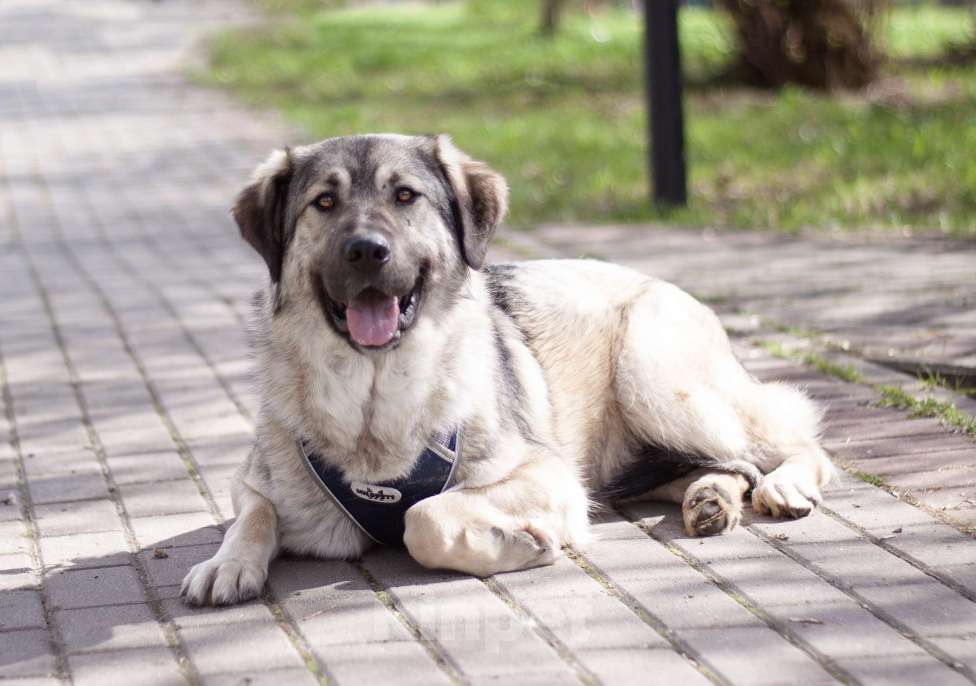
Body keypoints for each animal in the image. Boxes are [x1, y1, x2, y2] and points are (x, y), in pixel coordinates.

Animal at [181, 134, 832, 608]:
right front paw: (226, 562)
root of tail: (661, 280)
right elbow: (252, 514)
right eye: (324, 202)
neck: (374, 399)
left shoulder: (551, 477)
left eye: (405, 197)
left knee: (788, 446)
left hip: (655, 382)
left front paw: (516, 543)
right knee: (723, 467)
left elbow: (423, 517)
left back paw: (782, 485)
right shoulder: (252, 480)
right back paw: (710, 497)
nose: (366, 251)